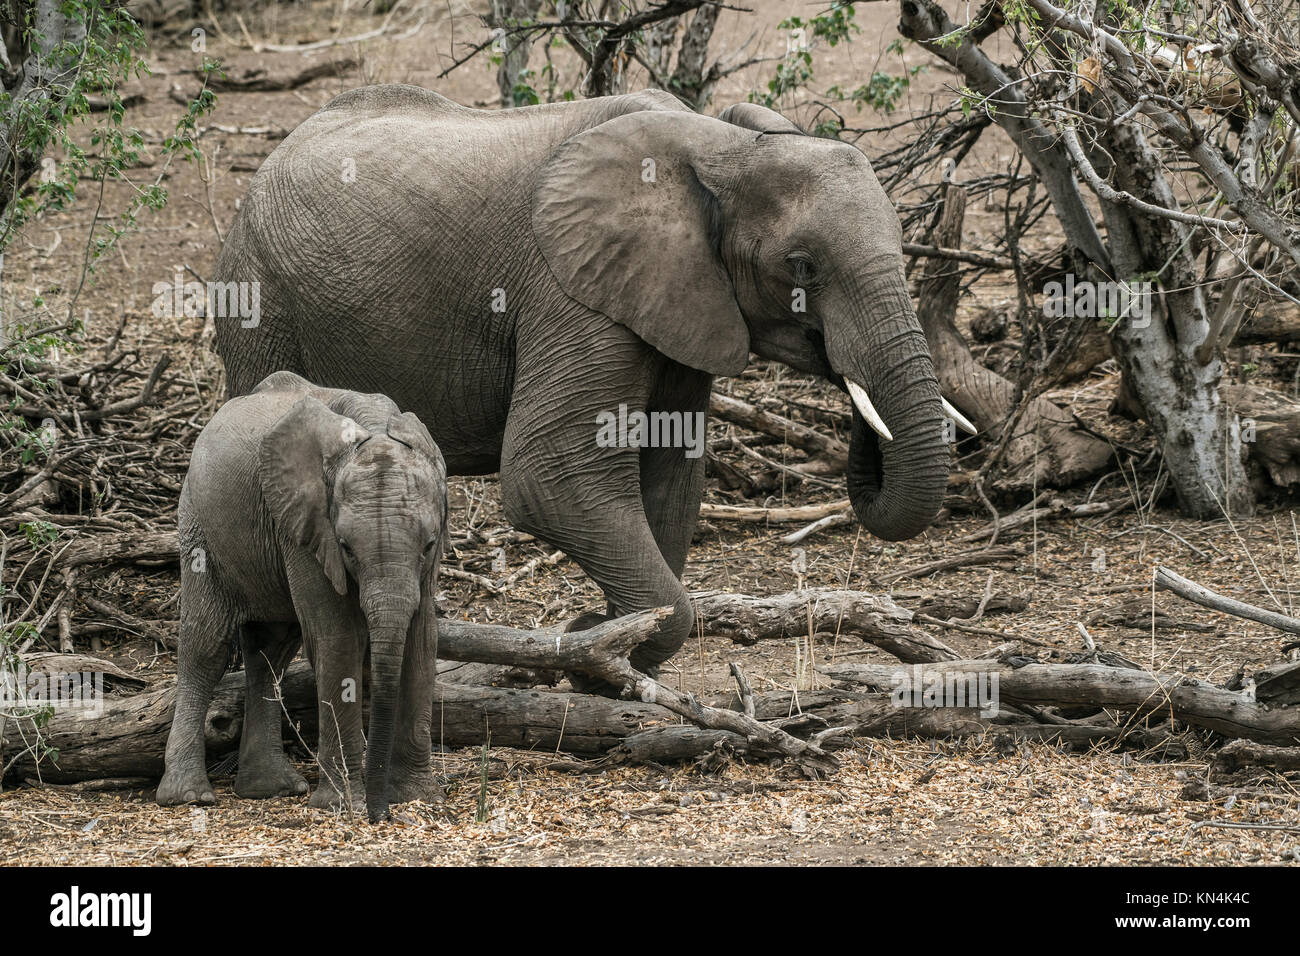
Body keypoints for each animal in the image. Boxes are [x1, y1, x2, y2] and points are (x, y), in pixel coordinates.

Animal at [158, 369, 447, 822]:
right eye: (345, 547)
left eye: (430, 543)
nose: (379, 814)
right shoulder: (306, 527)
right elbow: (338, 638)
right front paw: (344, 804)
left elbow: (421, 639)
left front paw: (417, 797)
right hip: (198, 522)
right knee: (206, 647)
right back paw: (189, 796)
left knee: (270, 649)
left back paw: (270, 789)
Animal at [213, 83, 961, 681]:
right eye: (802, 267)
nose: (841, 369)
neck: (720, 146)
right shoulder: (572, 292)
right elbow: (551, 475)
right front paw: (590, 644)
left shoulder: (677, 301)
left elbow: (670, 474)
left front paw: (606, 650)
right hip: (259, 303)